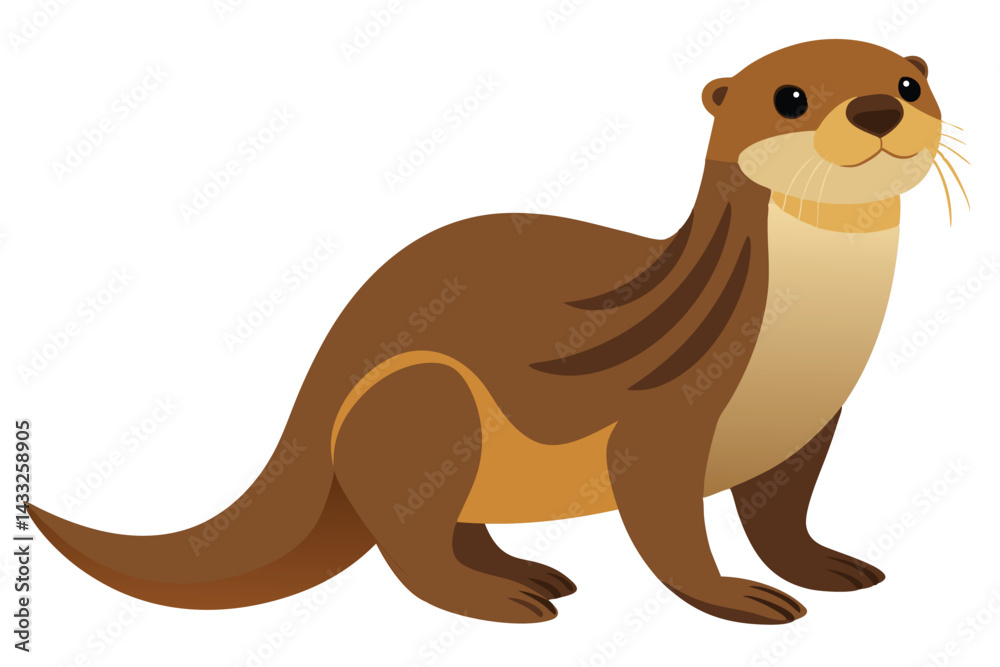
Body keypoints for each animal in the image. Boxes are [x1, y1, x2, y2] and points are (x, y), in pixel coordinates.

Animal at [29, 39, 962, 625]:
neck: (802, 346)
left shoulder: (811, 424)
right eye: (790, 97)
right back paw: (500, 600)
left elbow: (784, 515)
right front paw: (735, 597)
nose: (876, 109)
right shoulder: (668, 416)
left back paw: (527, 571)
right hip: (424, 393)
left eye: (910, 86)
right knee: (410, 542)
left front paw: (826, 567)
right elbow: (666, 524)